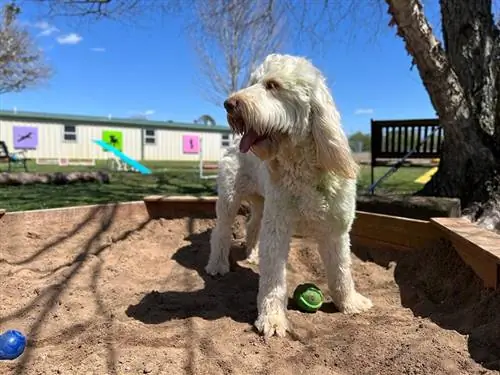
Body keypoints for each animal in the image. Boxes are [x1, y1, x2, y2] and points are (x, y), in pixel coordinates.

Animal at [203, 54, 372, 340]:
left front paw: (350, 303)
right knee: (221, 233)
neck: (302, 167)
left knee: (252, 225)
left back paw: (251, 255)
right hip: (229, 199)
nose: (229, 104)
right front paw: (272, 319)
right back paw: (217, 264)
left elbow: (341, 270)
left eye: (272, 85)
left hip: (262, 204)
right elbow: (273, 280)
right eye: (252, 82)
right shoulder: (278, 228)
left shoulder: (336, 231)